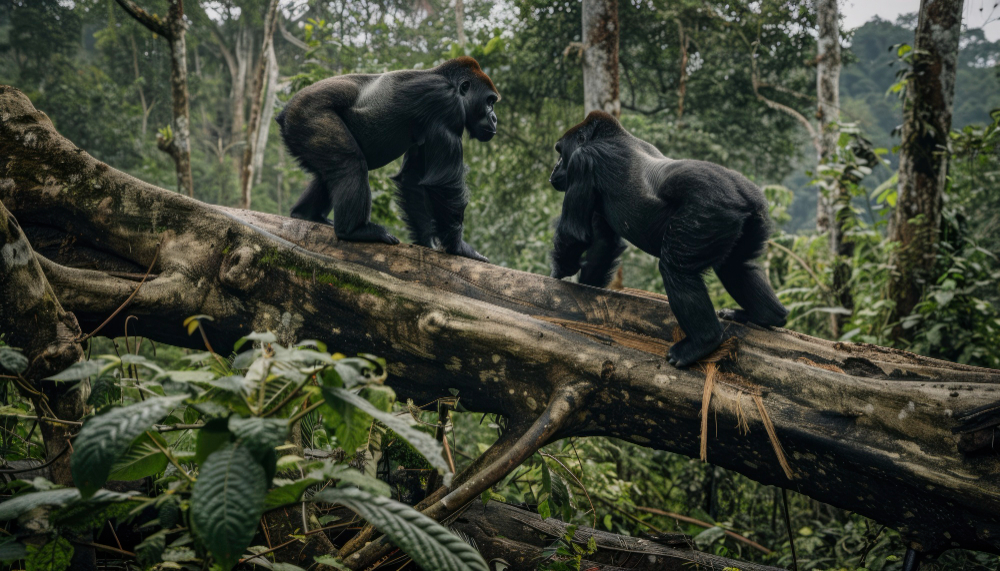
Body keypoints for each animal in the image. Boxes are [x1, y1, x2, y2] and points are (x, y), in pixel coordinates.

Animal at [276, 57, 499, 261]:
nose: (495, 118)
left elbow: (412, 179)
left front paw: (427, 243)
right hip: (308, 113)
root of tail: (285, 112)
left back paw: (307, 215)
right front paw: (458, 247)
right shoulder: (446, 103)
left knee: (329, 173)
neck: (448, 80)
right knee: (351, 164)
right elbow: (443, 183)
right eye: (489, 102)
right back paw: (354, 230)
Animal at [548, 111, 789, 368]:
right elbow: (603, 243)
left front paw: (560, 272)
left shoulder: (583, 160)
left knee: (676, 268)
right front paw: (587, 285)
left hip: (711, 212)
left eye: (560, 153)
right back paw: (765, 315)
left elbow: (574, 234)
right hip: (754, 214)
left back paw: (703, 342)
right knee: (736, 266)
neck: (608, 136)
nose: (554, 169)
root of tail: (743, 194)